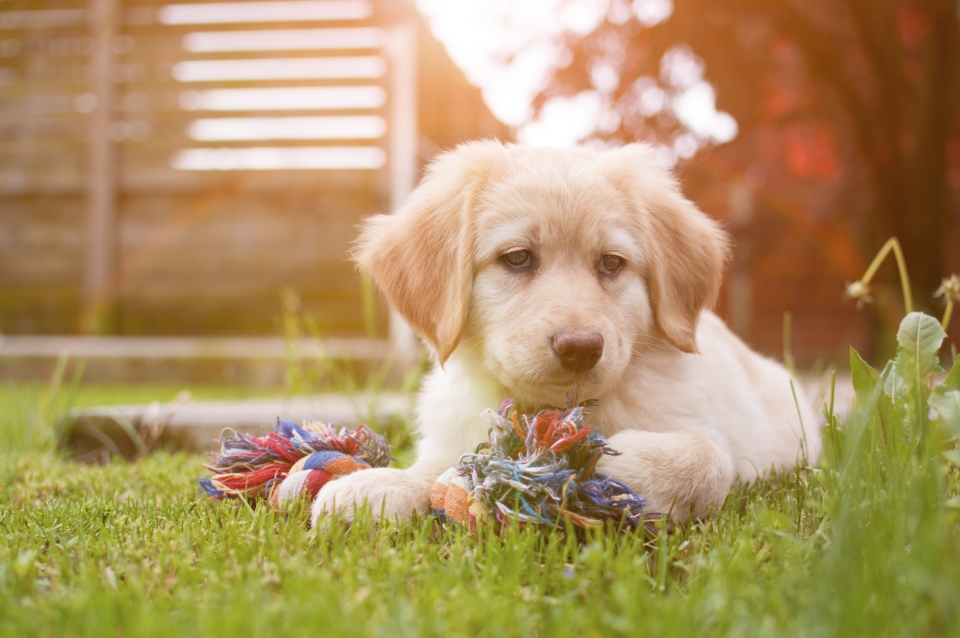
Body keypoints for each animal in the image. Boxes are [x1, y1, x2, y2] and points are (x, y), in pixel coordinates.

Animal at [312, 142, 820, 528]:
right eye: (517, 258)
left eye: (611, 263)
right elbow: (444, 466)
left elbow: (706, 459)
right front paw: (376, 489)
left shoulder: (707, 429)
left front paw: (599, 468)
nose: (580, 348)